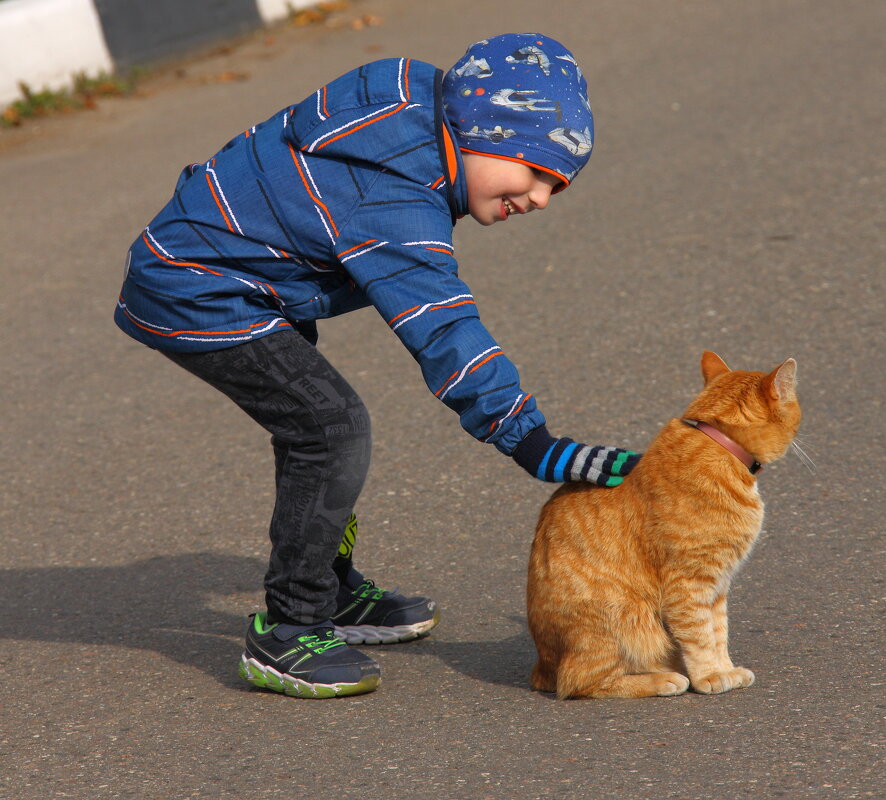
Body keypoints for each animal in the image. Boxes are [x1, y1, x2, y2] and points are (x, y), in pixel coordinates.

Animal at [528, 354, 804, 696]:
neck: (720, 445)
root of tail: (542, 667)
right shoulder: (689, 581)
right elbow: (699, 634)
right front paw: (710, 675)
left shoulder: (717, 583)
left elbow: (718, 630)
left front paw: (725, 669)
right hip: (621, 618)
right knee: (580, 682)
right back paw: (662, 679)